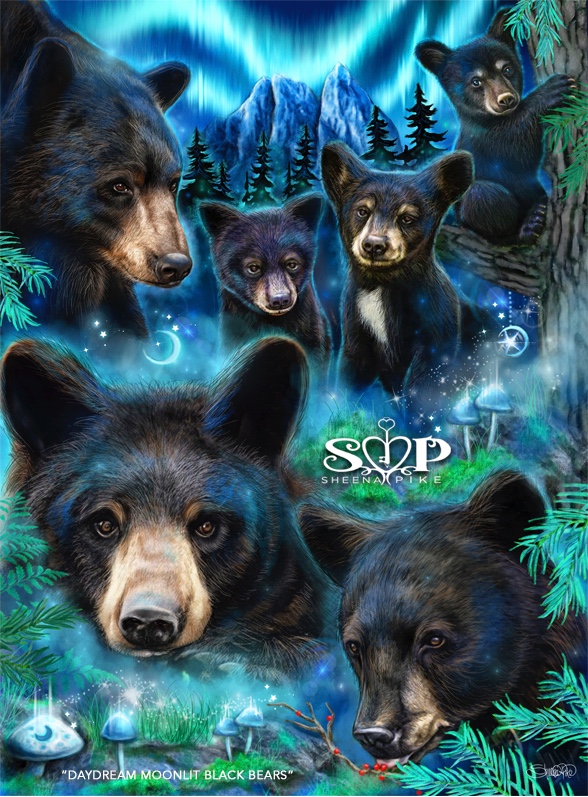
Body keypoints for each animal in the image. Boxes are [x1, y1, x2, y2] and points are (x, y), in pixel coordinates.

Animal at [321, 142, 488, 399]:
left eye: (407, 218)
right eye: (362, 211)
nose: (374, 245)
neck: (382, 284)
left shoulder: (436, 323)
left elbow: (425, 382)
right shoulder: (356, 323)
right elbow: (351, 370)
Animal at [415, 8, 575, 245]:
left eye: (507, 69)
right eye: (476, 81)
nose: (506, 99)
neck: (491, 119)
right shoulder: (484, 140)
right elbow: (515, 146)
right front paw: (551, 89)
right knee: (481, 195)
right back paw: (530, 225)